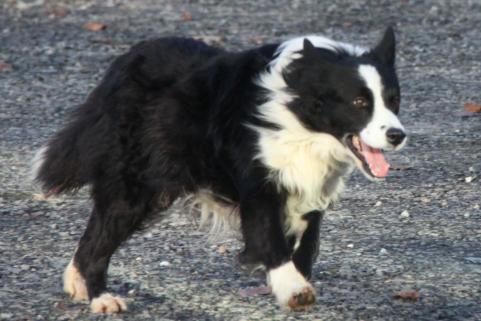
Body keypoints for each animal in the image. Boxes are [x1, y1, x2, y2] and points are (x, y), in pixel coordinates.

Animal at [31, 27, 404, 312]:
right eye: (359, 102)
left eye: (394, 99)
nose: (398, 135)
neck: (301, 119)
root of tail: (119, 66)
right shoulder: (258, 181)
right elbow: (270, 239)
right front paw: (294, 290)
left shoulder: (309, 188)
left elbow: (306, 246)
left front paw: (294, 280)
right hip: (137, 181)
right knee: (102, 235)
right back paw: (101, 298)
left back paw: (77, 283)